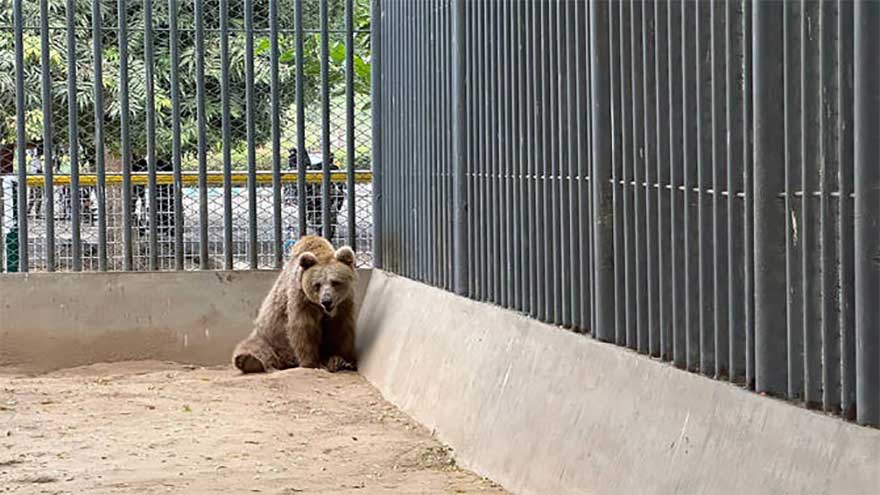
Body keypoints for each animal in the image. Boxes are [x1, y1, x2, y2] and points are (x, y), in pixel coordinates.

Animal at [232, 235, 358, 374]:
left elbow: (341, 329)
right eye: (317, 284)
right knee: (256, 348)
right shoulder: (301, 299)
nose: (326, 301)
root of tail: (286, 360)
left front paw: (344, 360)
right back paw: (248, 360)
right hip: (269, 337)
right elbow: (303, 327)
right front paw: (310, 363)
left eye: (335, 282)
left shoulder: (343, 303)